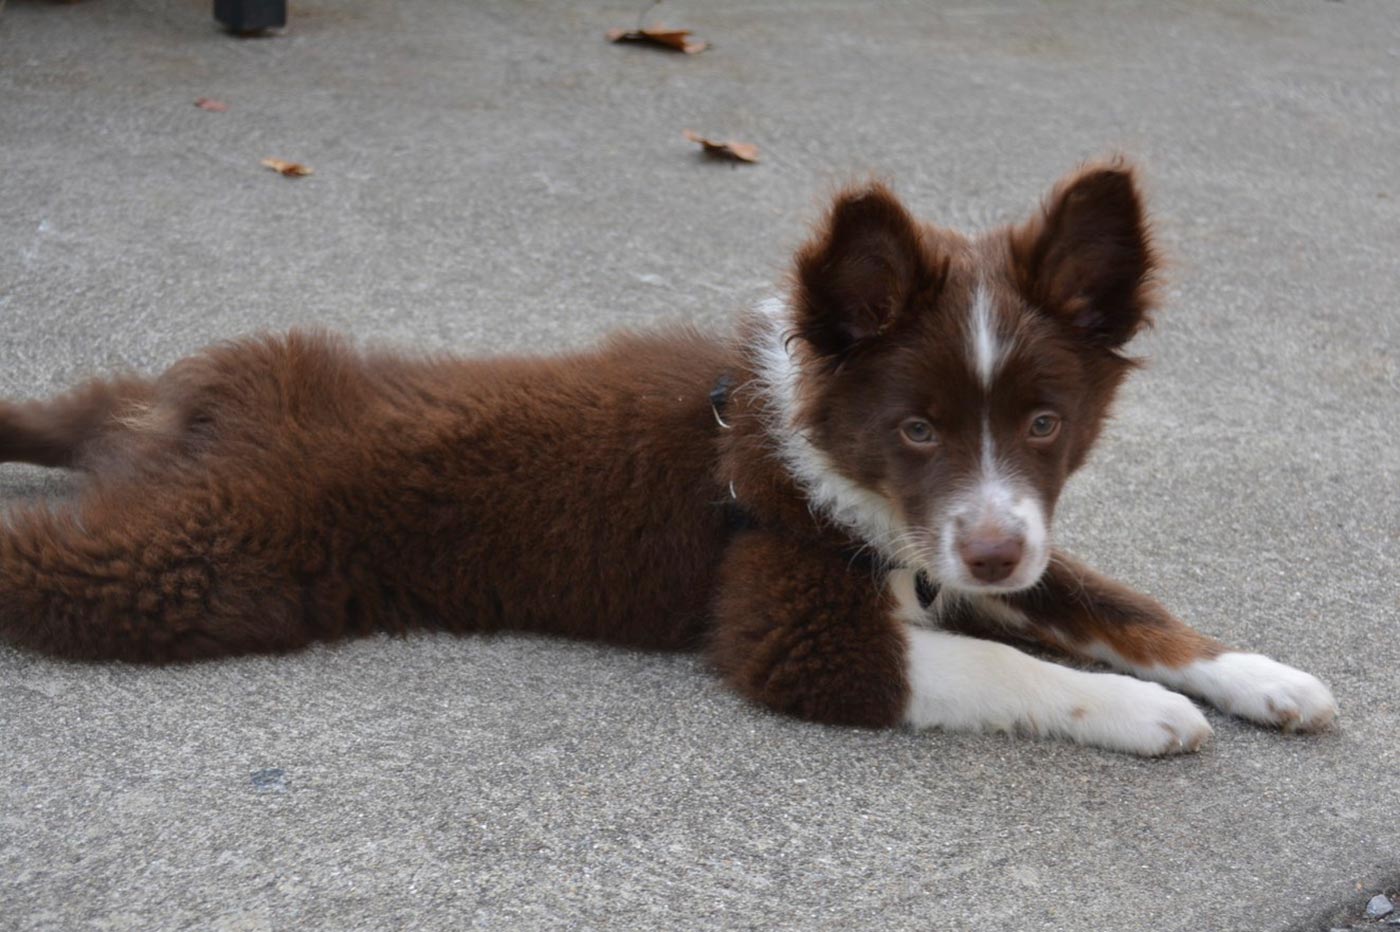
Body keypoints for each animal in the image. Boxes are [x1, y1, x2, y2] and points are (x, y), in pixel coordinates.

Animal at [0, 163, 1332, 750]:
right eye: (915, 426)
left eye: (1044, 422)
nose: (994, 551)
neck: (816, 464)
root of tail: (170, 421)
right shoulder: (793, 623)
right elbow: (1002, 662)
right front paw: (1146, 713)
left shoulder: (971, 538)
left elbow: (1107, 601)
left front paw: (1261, 676)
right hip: (206, 560)